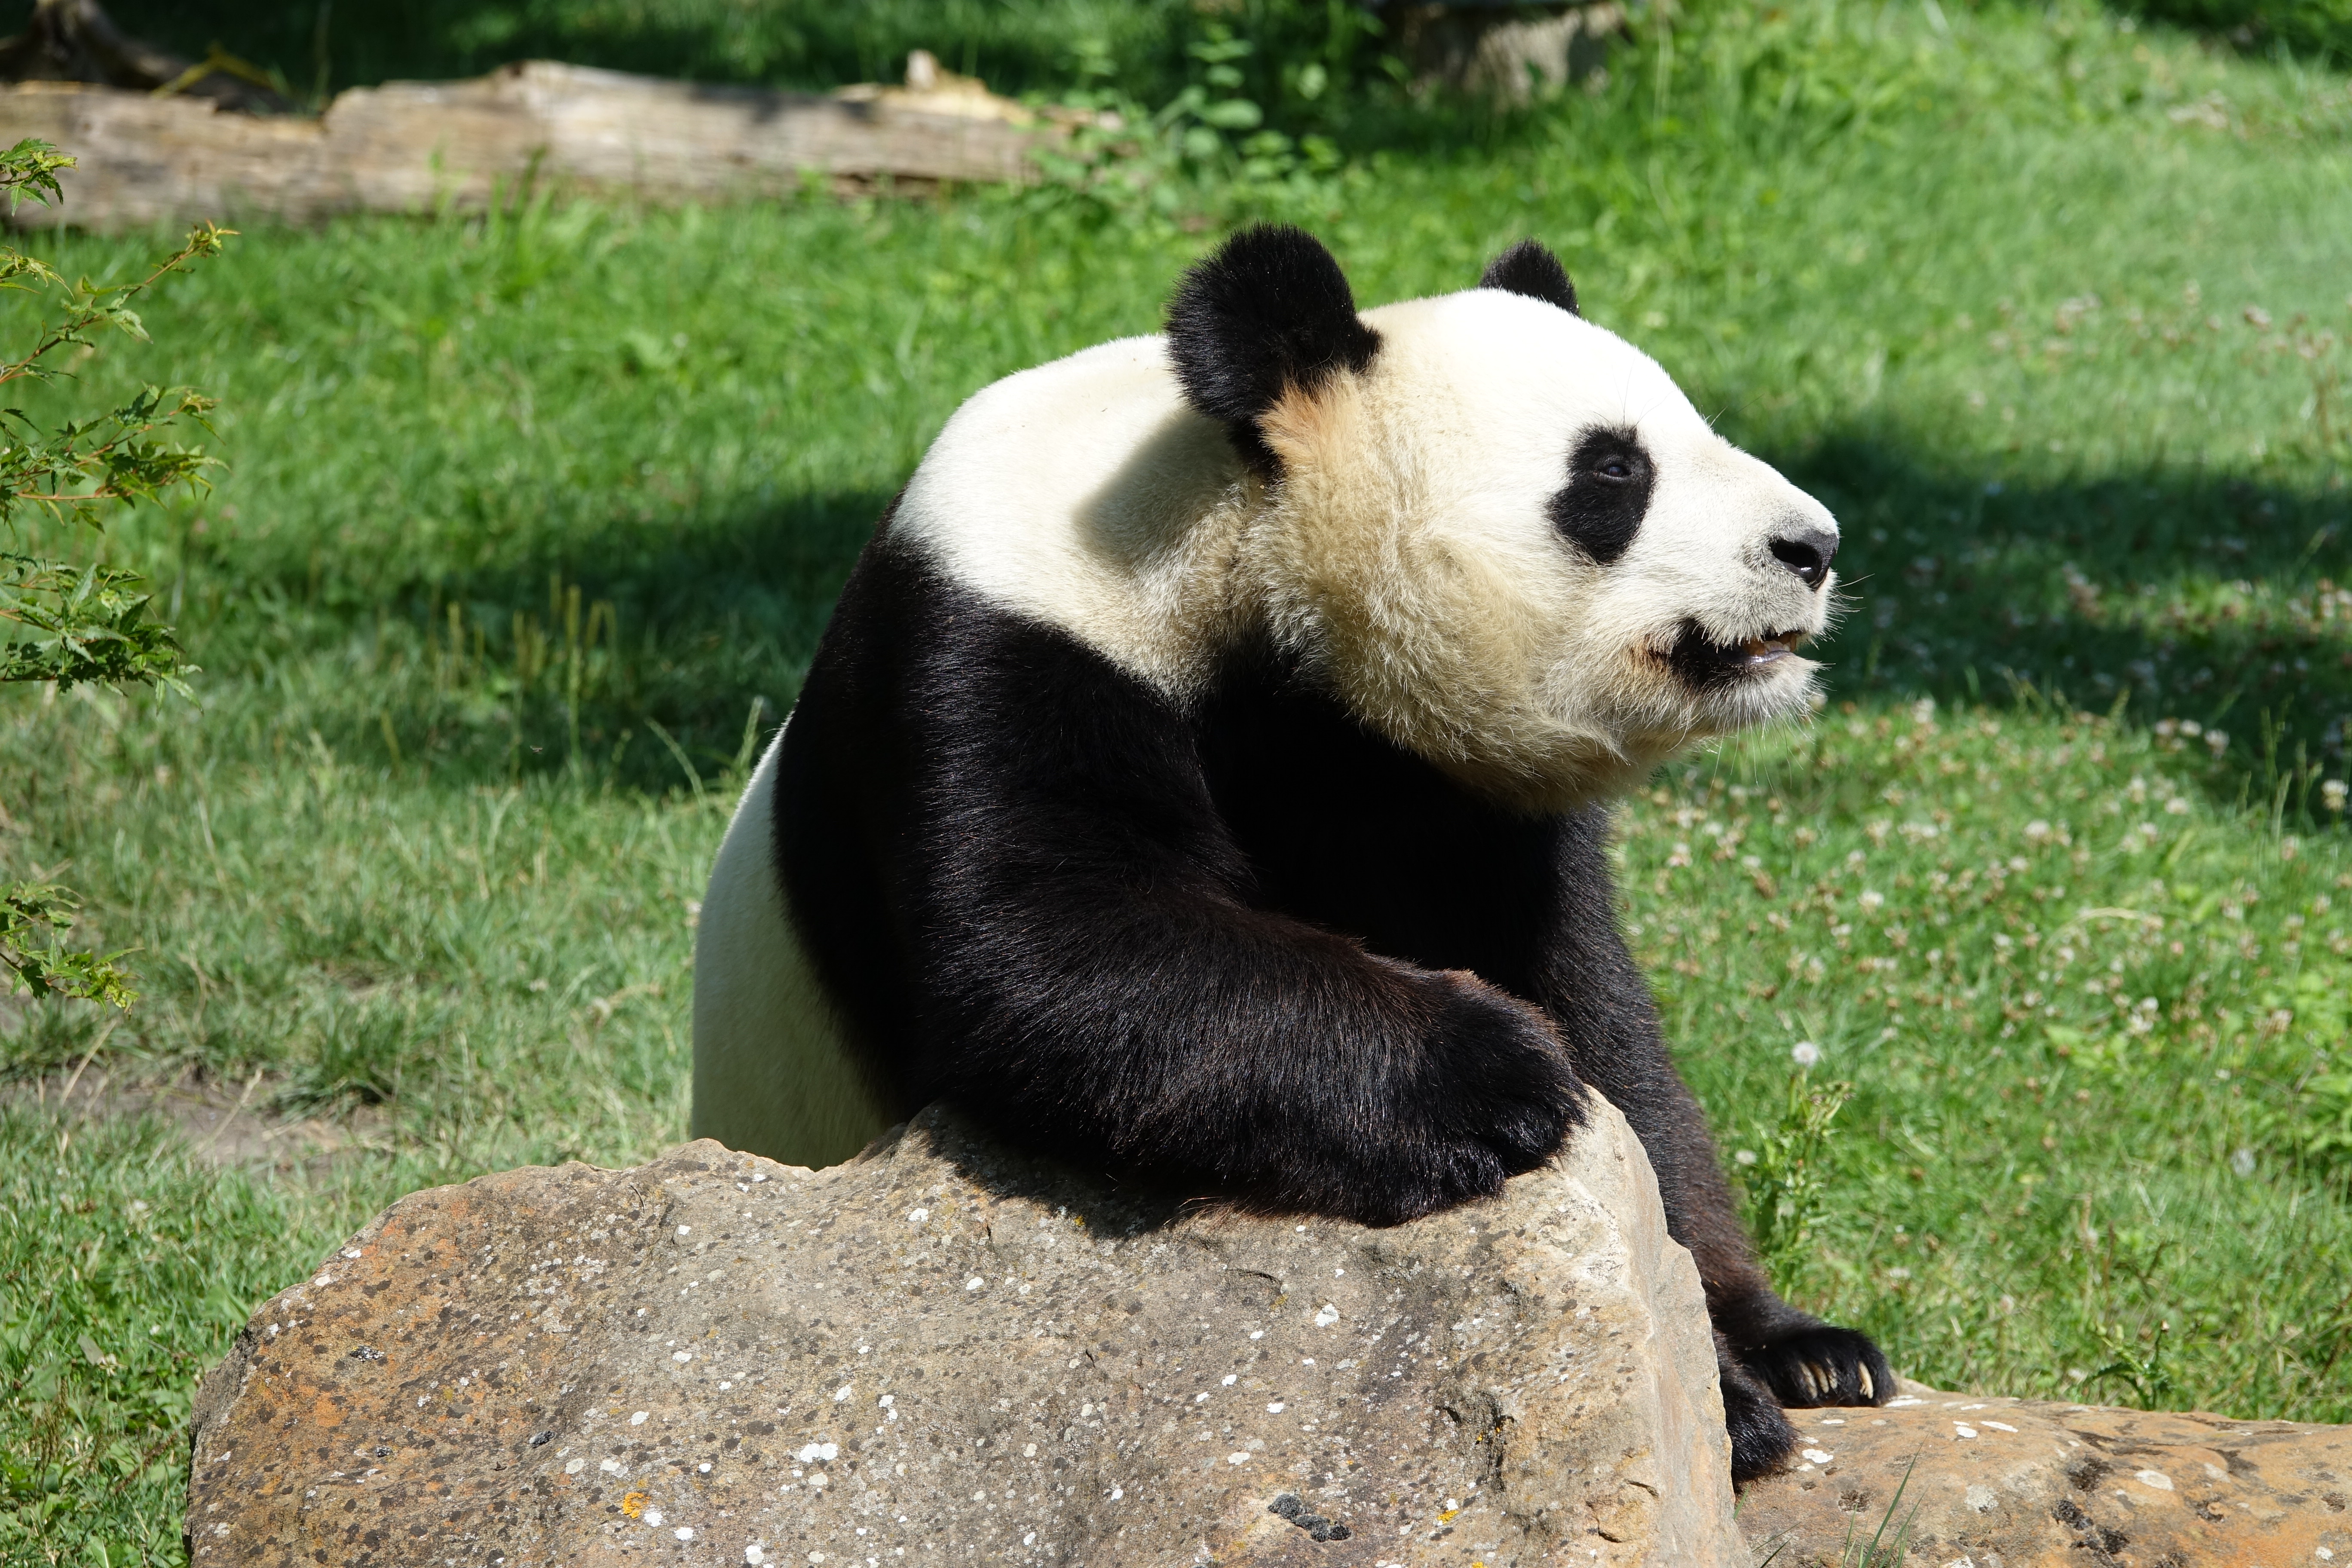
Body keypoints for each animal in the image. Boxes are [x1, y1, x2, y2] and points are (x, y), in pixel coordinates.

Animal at [691, 225, 1890, 1480]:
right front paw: (1495, 1075)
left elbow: (1608, 1029)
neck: (1224, 534)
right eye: (1613, 472)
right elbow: (1049, 948)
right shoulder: (993, 644)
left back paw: (1818, 1357)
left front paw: (1741, 1357)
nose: (1812, 545)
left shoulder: (1432, 785)